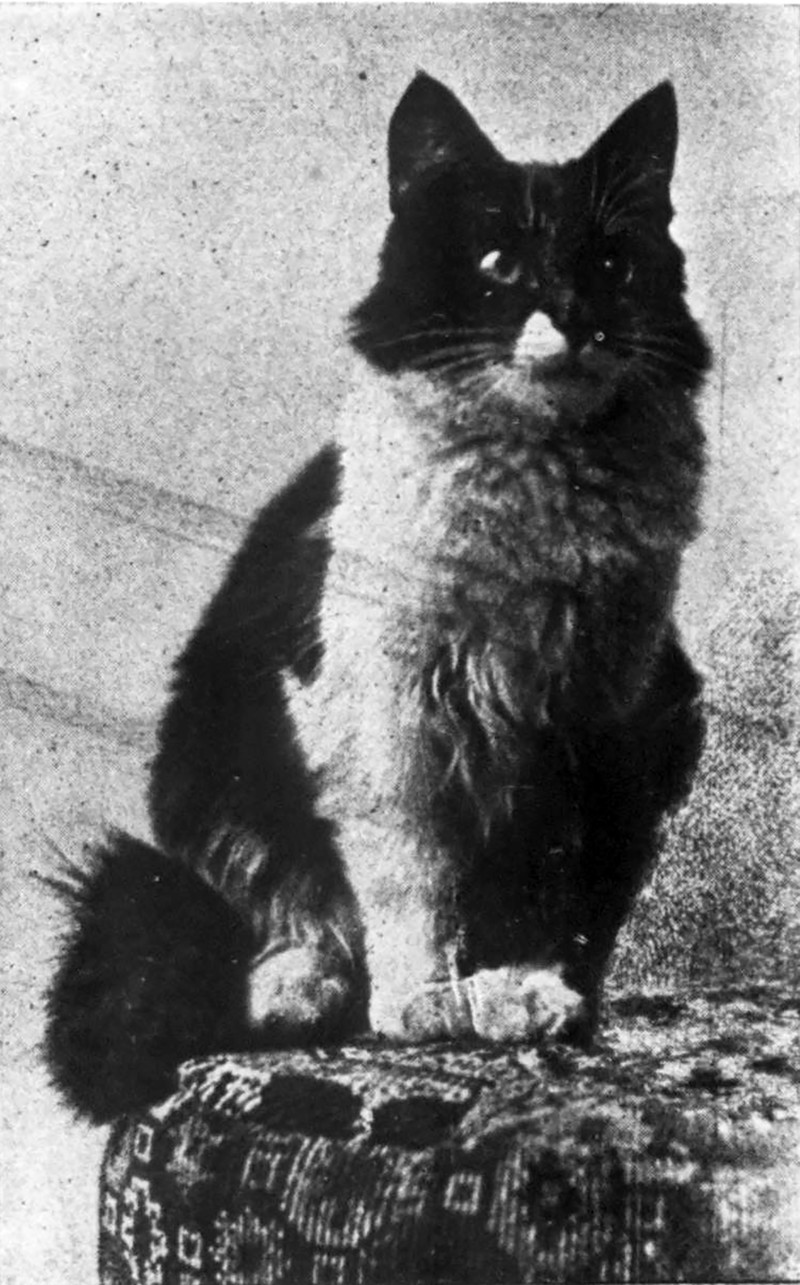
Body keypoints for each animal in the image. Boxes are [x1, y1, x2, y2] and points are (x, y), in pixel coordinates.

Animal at [45, 72, 710, 1123]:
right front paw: (422, 1006)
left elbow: (551, 888)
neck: (534, 491)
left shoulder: (597, 725)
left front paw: (525, 996)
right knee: (295, 912)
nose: (576, 317)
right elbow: (409, 875)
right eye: (497, 262)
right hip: (216, 749)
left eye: (612, 262)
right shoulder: (385, 715)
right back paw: (301, 988)